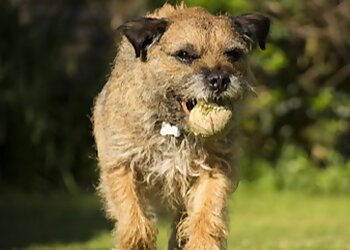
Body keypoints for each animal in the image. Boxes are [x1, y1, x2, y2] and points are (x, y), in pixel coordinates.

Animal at [91, 2, 270, 250]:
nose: (220, 80)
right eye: (184, 55)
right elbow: (133, 215)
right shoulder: (121, 164)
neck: (174, 127)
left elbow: (206, 214)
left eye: (232, 54)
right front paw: (136, 241)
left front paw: (203, 242)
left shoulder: (214, 167)